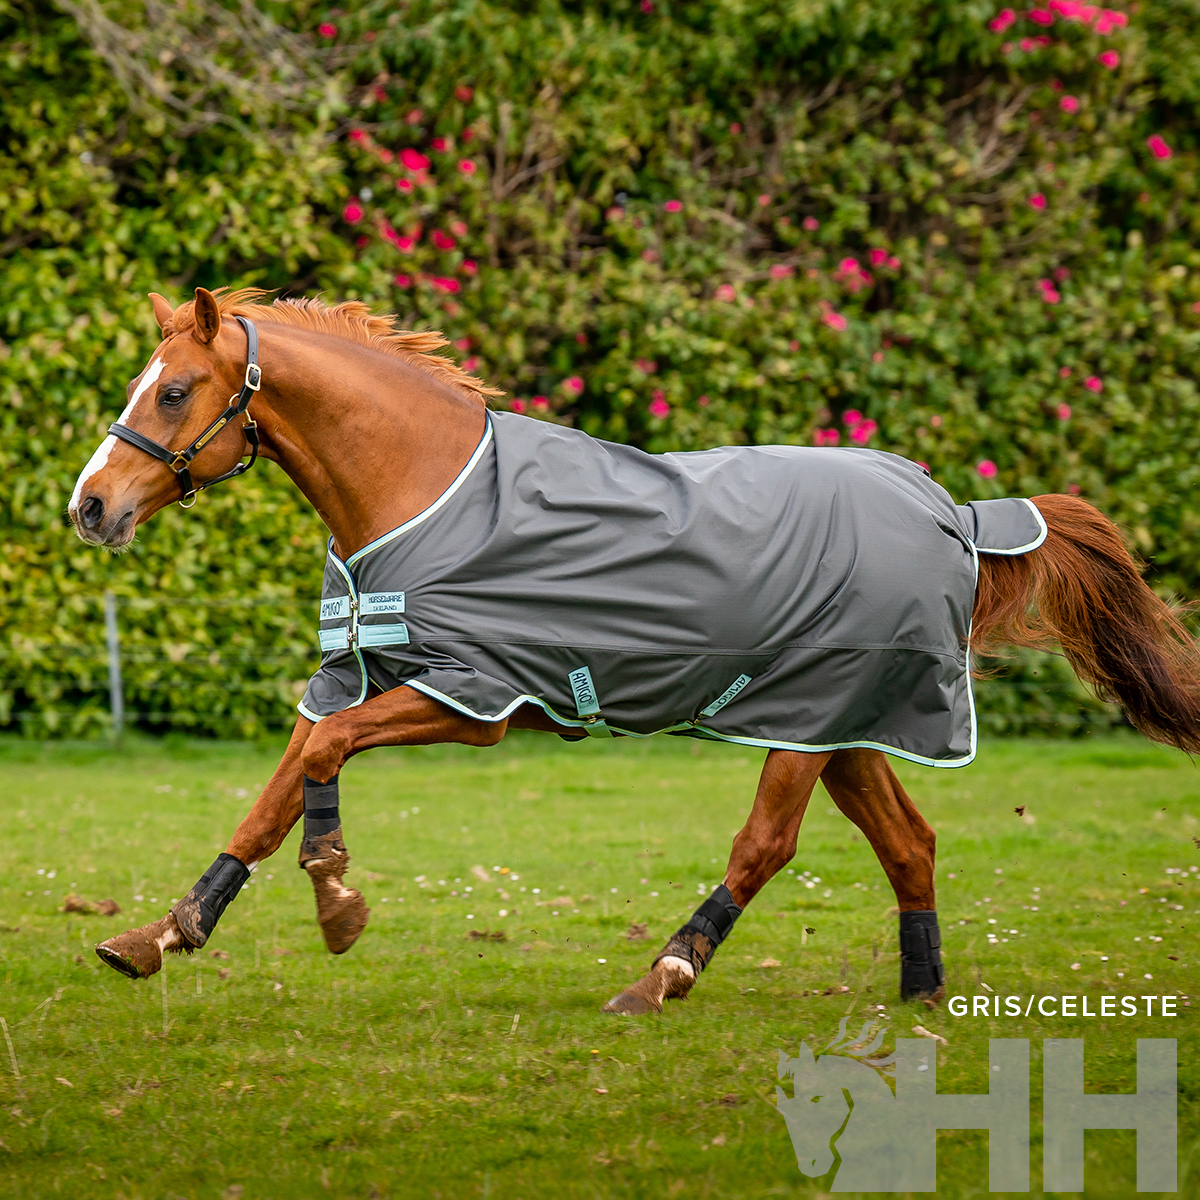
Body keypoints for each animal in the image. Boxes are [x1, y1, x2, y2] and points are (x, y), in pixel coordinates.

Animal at [67, 287, 1200, 1015]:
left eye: (173, 392)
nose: (89, 507)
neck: (425, 486)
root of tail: (955, 510)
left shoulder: (472, 697)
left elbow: (319, 755)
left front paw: (336, 901)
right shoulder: (361, 671)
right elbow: (284, 780)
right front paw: (160, 935)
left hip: (804, 723)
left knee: (766, 846)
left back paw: (665, 976)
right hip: (846, 726)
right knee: (909, 843)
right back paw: (921, 996)